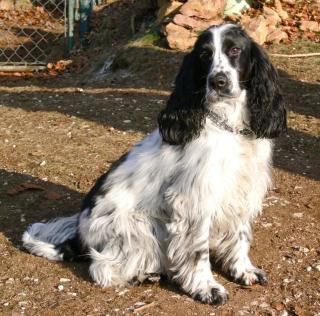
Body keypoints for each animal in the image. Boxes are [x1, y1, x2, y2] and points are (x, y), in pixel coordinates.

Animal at [23, 23, 288, 304]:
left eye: (235, 50)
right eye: (204, 54)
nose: (218, 81)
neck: (231, 127)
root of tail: (79, 235)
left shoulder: (242, 192)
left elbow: (240, 236)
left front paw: (243, 270)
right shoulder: (194, 201)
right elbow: (198, 251)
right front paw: (206, 287)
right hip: (140, 227)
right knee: (101, 267)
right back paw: (143, 274)